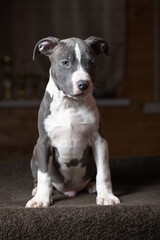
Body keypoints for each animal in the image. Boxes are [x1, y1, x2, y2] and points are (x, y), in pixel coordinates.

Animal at [25, 36, 120, 208]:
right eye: (65, 62)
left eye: (92, 63)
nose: (83, 84)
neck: (70, 103)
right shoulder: (43, 143)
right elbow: (44, 175)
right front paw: (41, 199)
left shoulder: (99, 141)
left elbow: (103, 171)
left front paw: (106, 196)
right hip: (35, 153)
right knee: (39, 175)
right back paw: (36, 190)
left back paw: (91, 185)